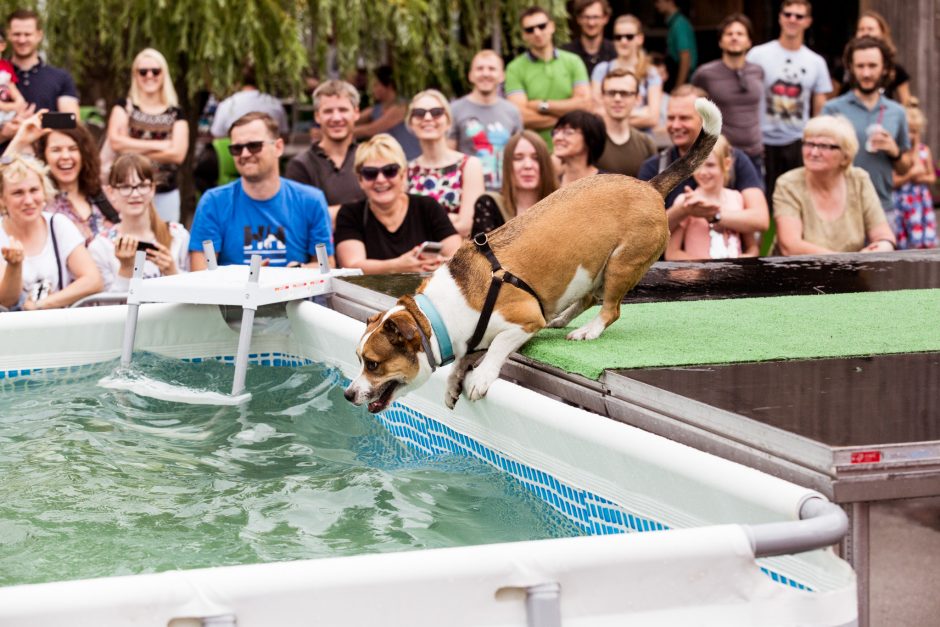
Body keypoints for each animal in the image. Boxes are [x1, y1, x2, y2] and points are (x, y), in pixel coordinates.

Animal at [346, 97, 720, 412]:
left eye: (373, 364)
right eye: (359, 359)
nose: (349, 393)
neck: (436, 317)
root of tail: (649, 186)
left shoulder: (522, 320)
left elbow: (497, 348)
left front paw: (481, 377)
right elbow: (468, 357)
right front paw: (454, 381)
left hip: (621, 263)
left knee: (610, 310)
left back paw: (587, 331)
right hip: (593, 270)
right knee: (588, 298)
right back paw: (563, 318)